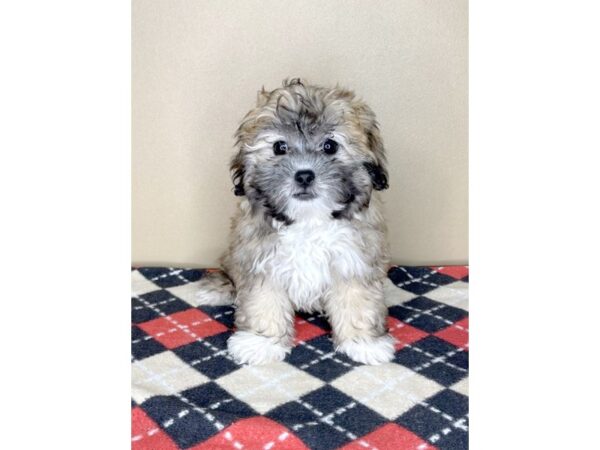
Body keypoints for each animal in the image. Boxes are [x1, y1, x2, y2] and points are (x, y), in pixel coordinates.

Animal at [195, 78, 396, 366]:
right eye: (280, 147)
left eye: (330, 146)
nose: (304, 176)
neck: (308, 219)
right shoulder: (261, 260)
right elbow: (262, 300)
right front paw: (260, 342)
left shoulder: (355, 259)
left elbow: (359, 300)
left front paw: (364, 343)